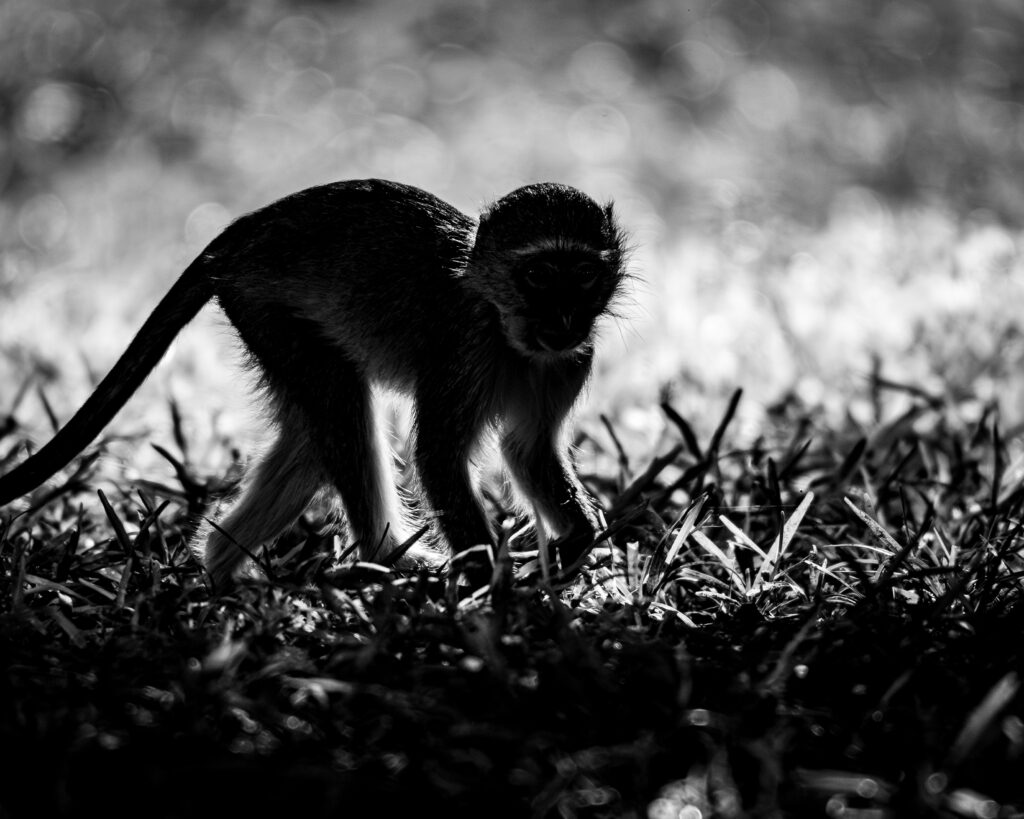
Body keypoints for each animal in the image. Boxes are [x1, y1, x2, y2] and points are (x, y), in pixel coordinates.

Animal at [0, 179, 627, 587]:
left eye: (583, 275)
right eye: (539, 275)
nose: (565, 318)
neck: (509, 333)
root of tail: (243, 234)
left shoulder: (573, 359)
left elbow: (528, 450)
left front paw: (579, 535)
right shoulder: (465, 348)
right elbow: (439, 456)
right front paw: (489, 578)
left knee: (314, 434)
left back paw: (222, 577)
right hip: (263, 306)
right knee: (343, 407)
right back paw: (389, 557)